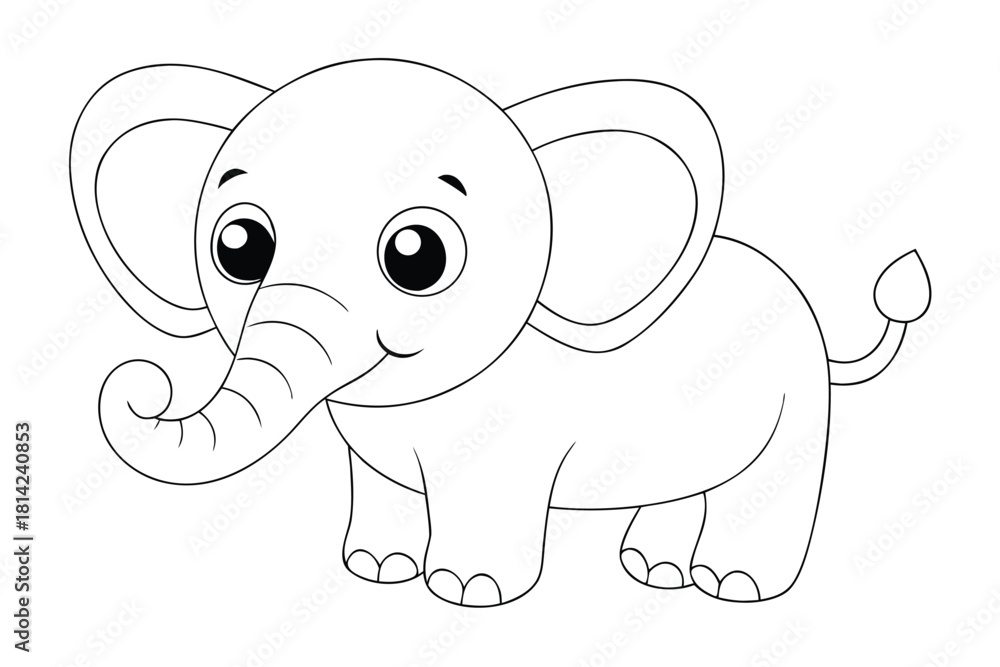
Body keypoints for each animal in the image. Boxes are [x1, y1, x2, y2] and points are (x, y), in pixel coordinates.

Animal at [71, 59, 931, 607]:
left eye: (417, 256)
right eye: (239, 246)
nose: (139, 382)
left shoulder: (513, 439)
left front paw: (467, 593)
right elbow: (384, 484)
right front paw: (376, 569)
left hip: (799, 403)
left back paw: (735, 587)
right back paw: (651, 569)